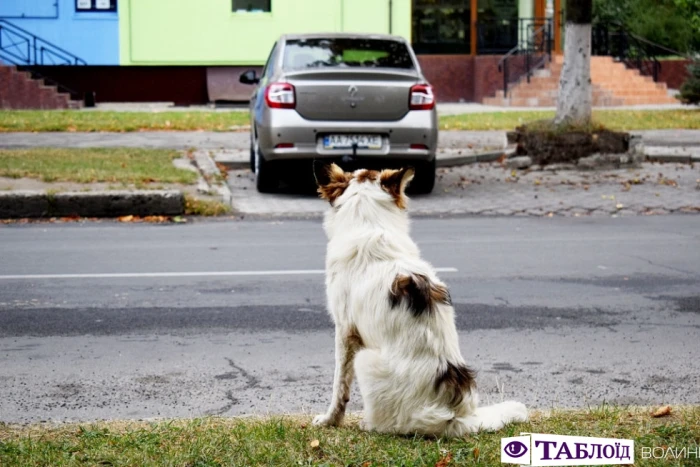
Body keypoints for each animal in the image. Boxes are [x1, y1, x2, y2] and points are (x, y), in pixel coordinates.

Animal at [314, 164, 528, 438]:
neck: (370, 226)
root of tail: (455, 416)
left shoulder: (345, 332)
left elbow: (339, 385)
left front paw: (330, 420)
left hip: (365, 359)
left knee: (390, 424)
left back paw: (369, 423)